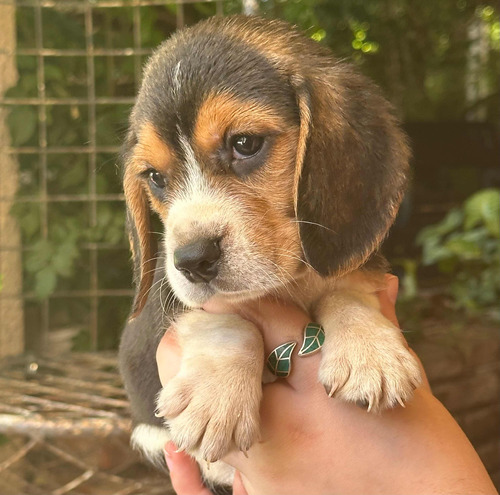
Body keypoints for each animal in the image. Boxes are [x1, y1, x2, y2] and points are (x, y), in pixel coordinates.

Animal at [120, 14, 422, 488]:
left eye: (245, 143)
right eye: (154, 177)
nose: (192, 261)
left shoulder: (358, 266)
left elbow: (348, 290)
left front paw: (371, 352)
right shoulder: (166, 302)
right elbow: (225, 317)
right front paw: (216, 398)